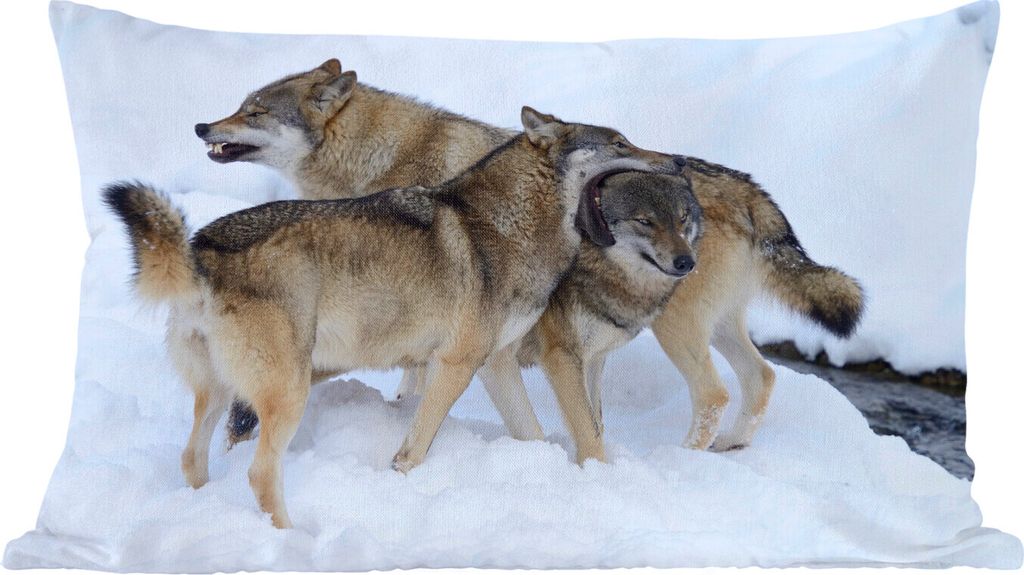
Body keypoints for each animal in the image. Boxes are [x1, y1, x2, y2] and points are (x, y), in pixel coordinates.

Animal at [107, 107, 685, 527]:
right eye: (620, 144)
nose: (679, 160)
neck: (509, 225)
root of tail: (198, 250)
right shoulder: (456, 364)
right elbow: (414, 450)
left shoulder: (494, 364)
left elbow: (534, 435)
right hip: (288, 392)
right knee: (259, 475)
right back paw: (292, 537)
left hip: (224, 392)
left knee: (192, 458)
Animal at [198, 59, 862, 455]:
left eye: (254, 111)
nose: (203, 125)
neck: (380, 155)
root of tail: (749, 187)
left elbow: (417, 386)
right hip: (716, 326)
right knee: (763, 376)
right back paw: (731, 448)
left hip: (678, 326)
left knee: (715, 393)